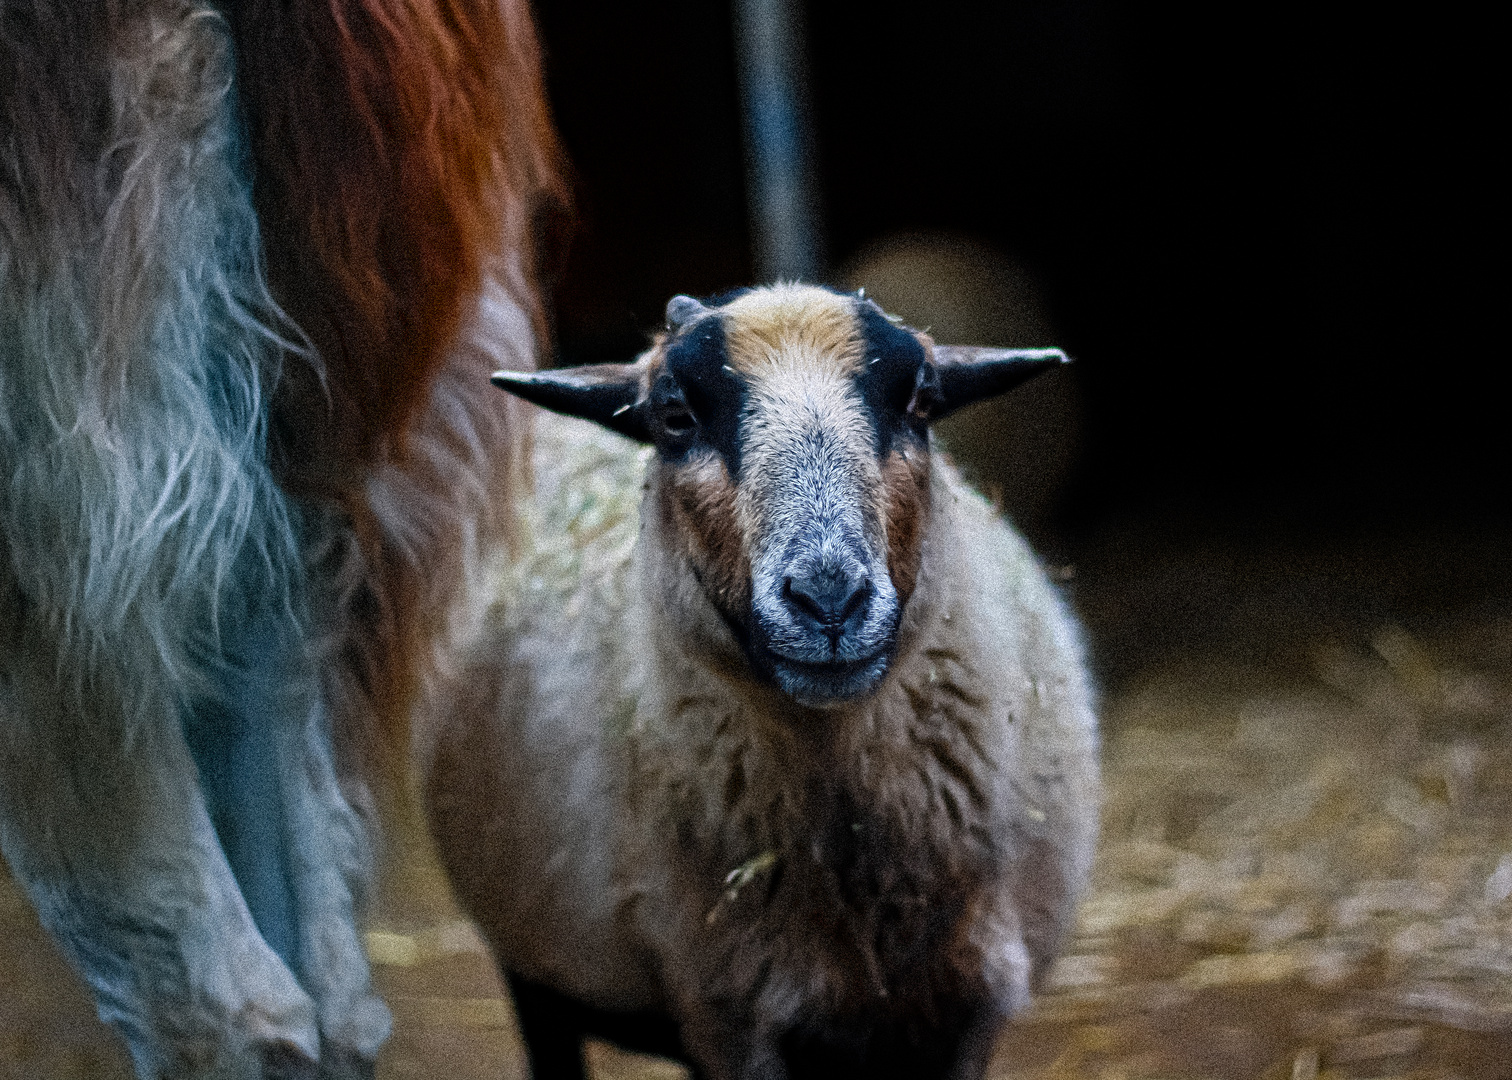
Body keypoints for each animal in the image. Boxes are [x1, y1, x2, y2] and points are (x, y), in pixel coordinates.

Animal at [426, 281, 1100, 1070]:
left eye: (920, 401)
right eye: (675, 416)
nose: (829, 598)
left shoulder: (970, 1011)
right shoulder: (731, 1016)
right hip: (533, 963)